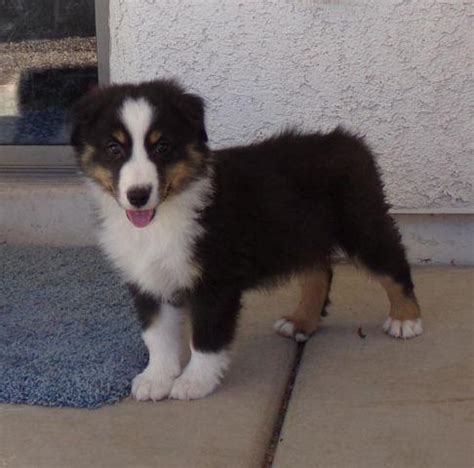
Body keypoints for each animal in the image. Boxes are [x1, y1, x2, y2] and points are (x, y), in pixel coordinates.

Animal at [71, 78, 422, 400]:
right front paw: (156, 379)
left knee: (393, 265)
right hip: (300, 234)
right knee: (319, 271)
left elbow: (206, 336)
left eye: (162, 147)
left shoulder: (215, 280)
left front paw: (194, 382)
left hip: (361, 224)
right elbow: (157, 334)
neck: (163, 217)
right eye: (114, 148)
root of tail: (347, 140)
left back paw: (406, 319)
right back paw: (301, 321)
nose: (138, 195)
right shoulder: (147, 278)